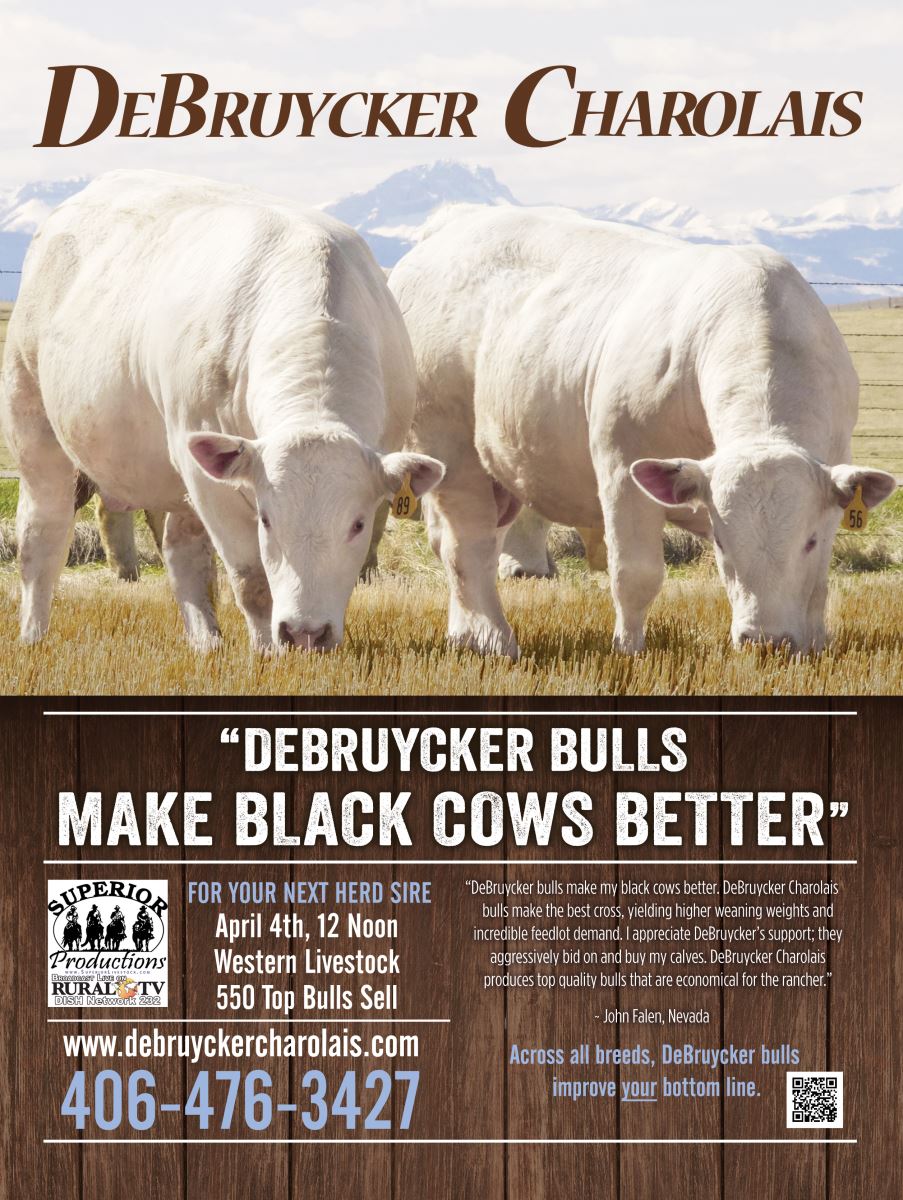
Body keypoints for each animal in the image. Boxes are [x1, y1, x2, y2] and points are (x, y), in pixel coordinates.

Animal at [1, 170, 443, 650]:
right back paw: (32, 635)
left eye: (357, 524)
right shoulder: (210, 479)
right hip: (34, 423)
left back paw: (206, 640)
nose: (304, 633)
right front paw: (267, 650)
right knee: (42, 537)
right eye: (266, 520)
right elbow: (252, 580)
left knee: (181, 551)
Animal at [389, 205, 898, 657]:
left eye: (808, 541)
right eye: (721, 541)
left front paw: (815, 645)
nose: (766, 641)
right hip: (448, 445)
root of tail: (454, 221)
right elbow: (636, 574)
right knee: (467, 546)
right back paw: (492, 638)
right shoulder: (621, 468)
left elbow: (818, 584)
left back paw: (464, 632)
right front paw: (629, 650)